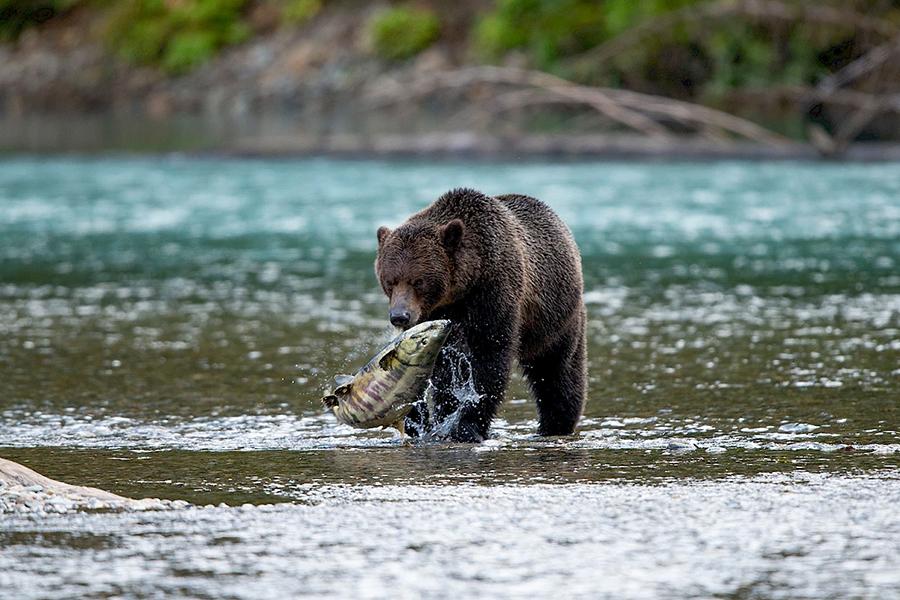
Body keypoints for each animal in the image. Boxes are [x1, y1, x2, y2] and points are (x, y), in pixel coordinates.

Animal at [374, 188, 587, 442]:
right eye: (390, 281)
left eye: (418, 281)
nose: (400, 316)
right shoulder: (434, 316)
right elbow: (443, 368)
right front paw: (439, 416)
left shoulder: (495, 295)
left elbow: (490, 359)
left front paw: (468, 425)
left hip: (556, 318)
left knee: (558, 371)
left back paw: (557, 423)